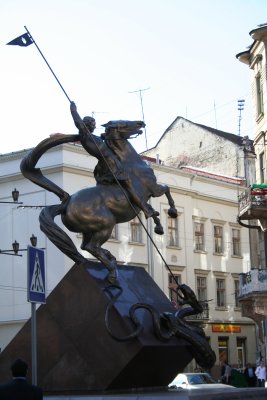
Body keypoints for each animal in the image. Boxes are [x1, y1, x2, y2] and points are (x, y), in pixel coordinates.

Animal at [21, 120, 179, 282]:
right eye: (122, 123)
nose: (140, 123)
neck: (131, 163)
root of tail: (66, 202)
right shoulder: (154, 189)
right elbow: (166, 190)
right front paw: (168, 215)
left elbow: (155, 205)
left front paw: (159, 223)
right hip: (106, 225)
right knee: (91, 247)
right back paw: (112, 271)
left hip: (88, 230)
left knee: (85, 247)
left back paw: (110, 259)